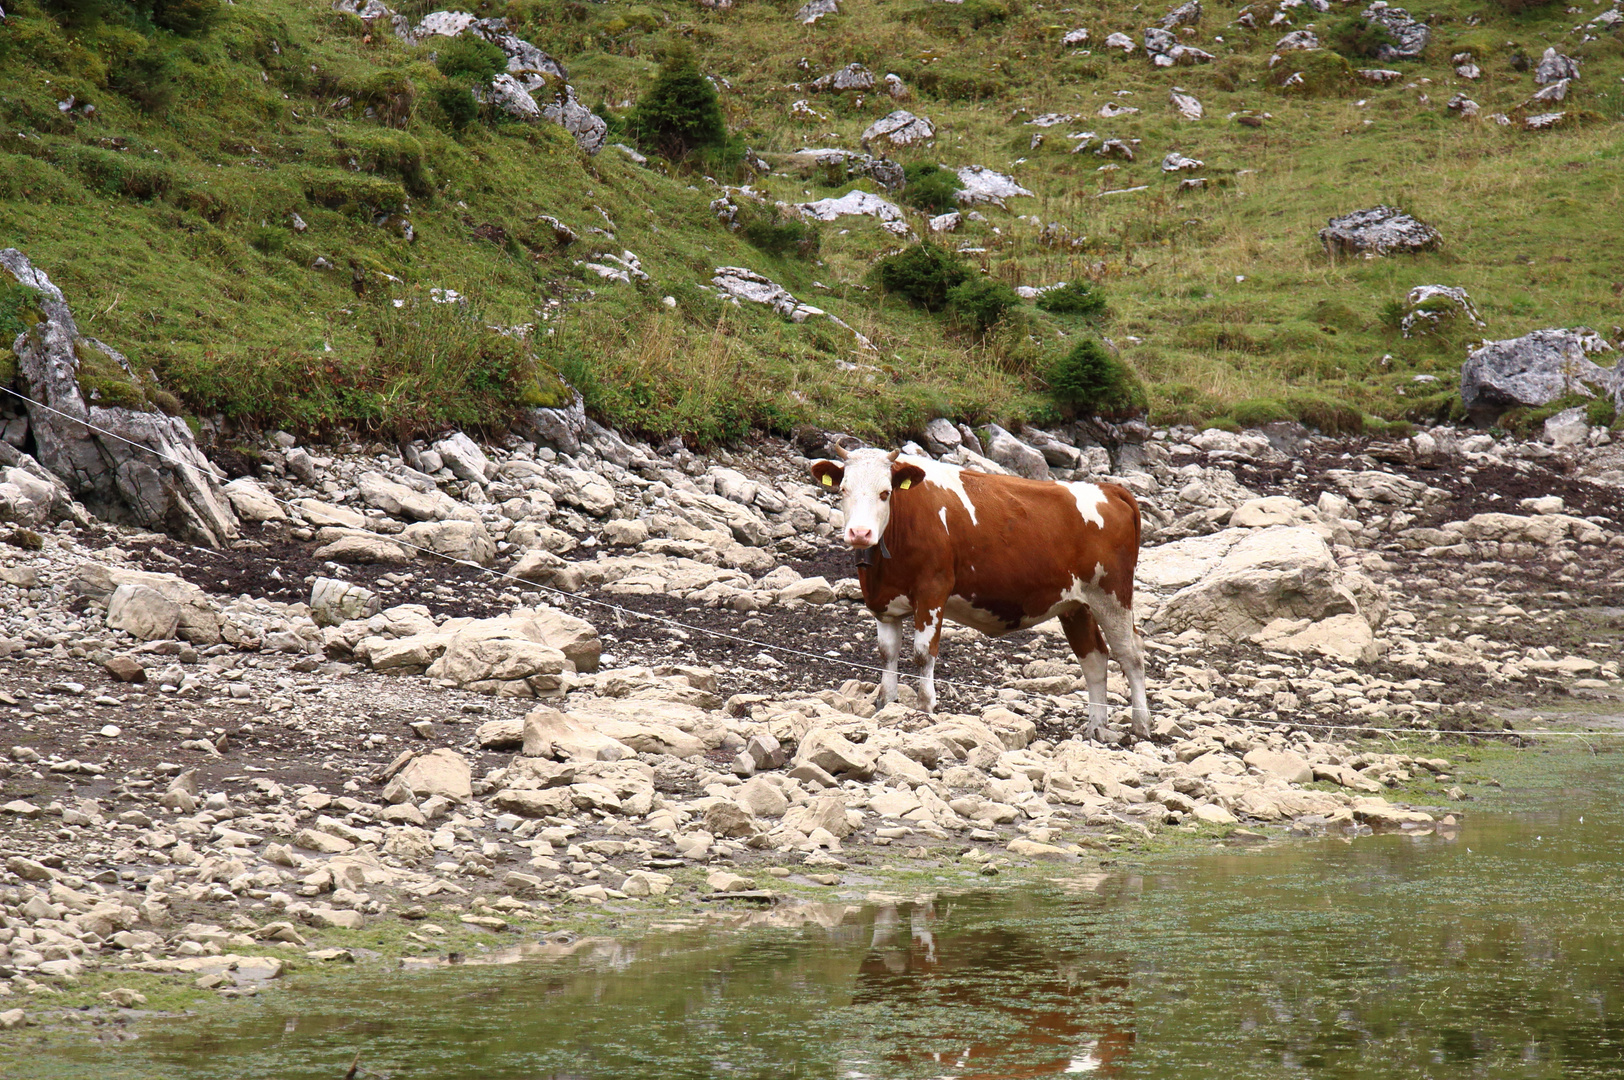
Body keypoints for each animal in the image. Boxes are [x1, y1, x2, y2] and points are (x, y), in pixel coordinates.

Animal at [805, 441, 1149, 737]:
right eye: (843, 490)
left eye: (885, 493)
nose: (860, 533)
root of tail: (1109, 488)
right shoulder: (884, 603)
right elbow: (887, 653)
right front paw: (886, 702)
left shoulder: (932, 591)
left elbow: (923, 653)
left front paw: (925, 707)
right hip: (1075, 605)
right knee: (1094, 658)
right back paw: (1096, 727)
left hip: (1112, 595)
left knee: (1130, 654)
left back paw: (1141, 725)